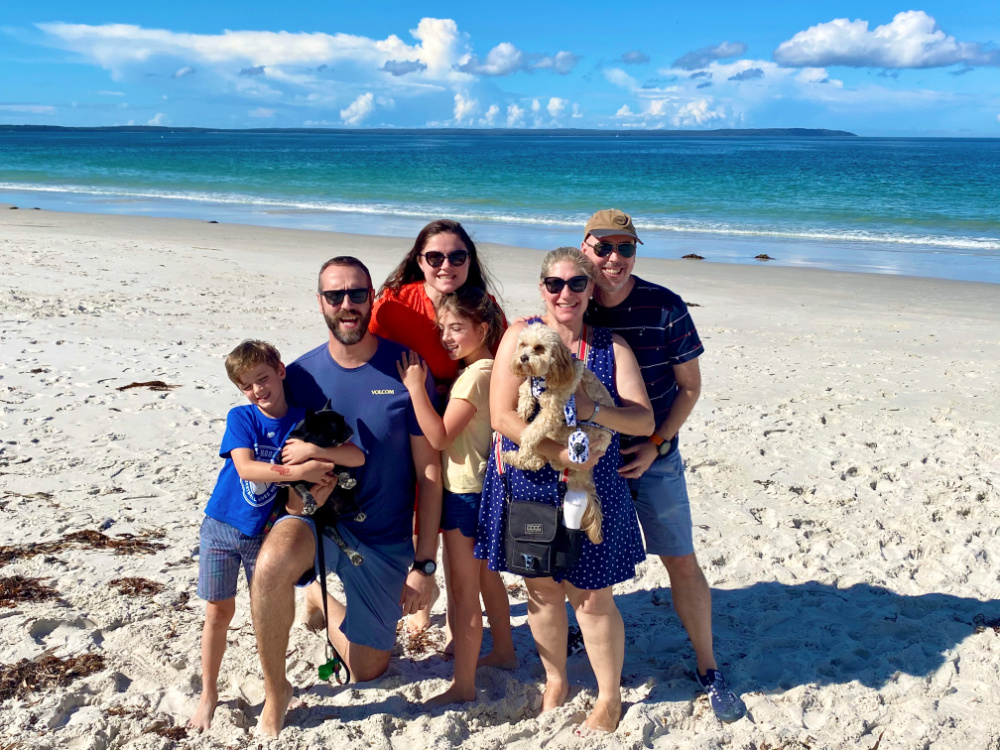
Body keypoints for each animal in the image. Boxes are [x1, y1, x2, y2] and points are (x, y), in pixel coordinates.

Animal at [504, 326, 612, 544]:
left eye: (539, 347)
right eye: (523, 344)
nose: (523, 357)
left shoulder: (552, 413)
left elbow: (530, 434)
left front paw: (523, 449)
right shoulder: (531, 386)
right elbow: (524, 388)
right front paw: (525, 407)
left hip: (571, 433)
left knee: (548, 460)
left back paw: (519, 457)